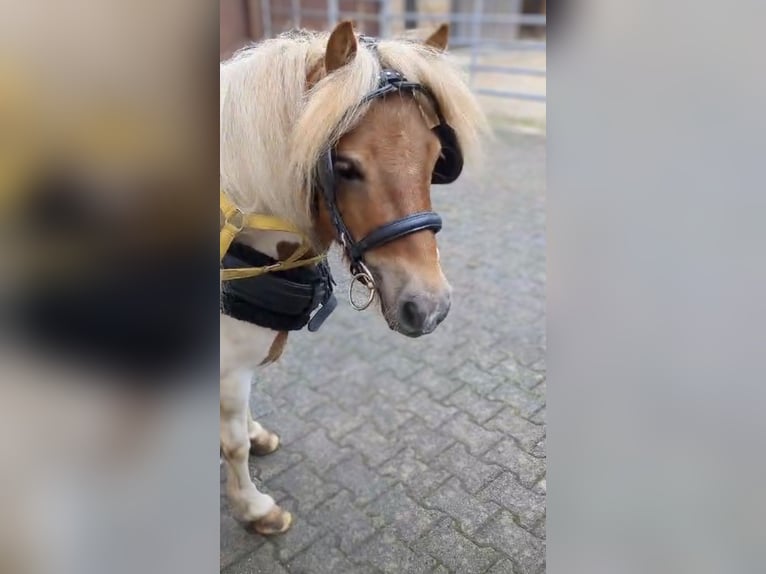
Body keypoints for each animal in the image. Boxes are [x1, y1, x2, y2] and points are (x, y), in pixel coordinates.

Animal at [219, 21, 488, 536]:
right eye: (344, 167)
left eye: (437, 158)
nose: (429, 307)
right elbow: (233, 444)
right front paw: (255, 509)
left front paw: (256, 433)